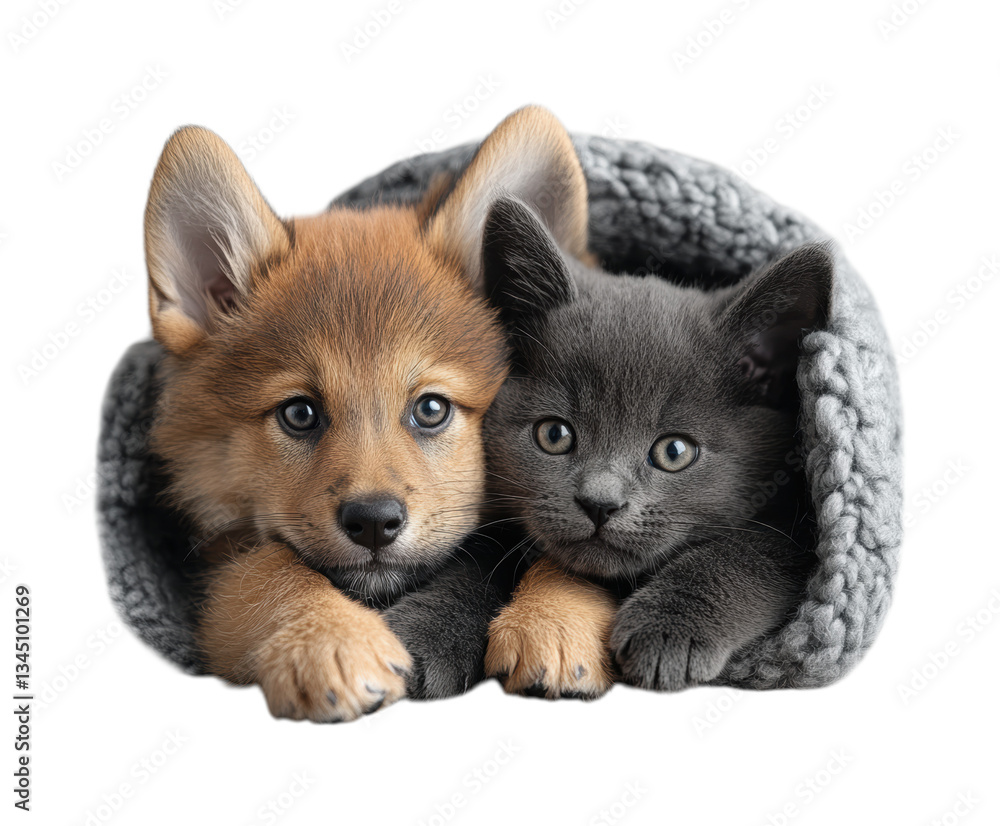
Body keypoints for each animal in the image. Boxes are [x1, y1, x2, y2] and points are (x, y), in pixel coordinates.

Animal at [142, 106, 589, 721]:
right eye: (299, 413)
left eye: (431, 408)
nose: (374, 521)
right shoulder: (218, 569)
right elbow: (269, 571)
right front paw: (332, 640)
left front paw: (555, 619)